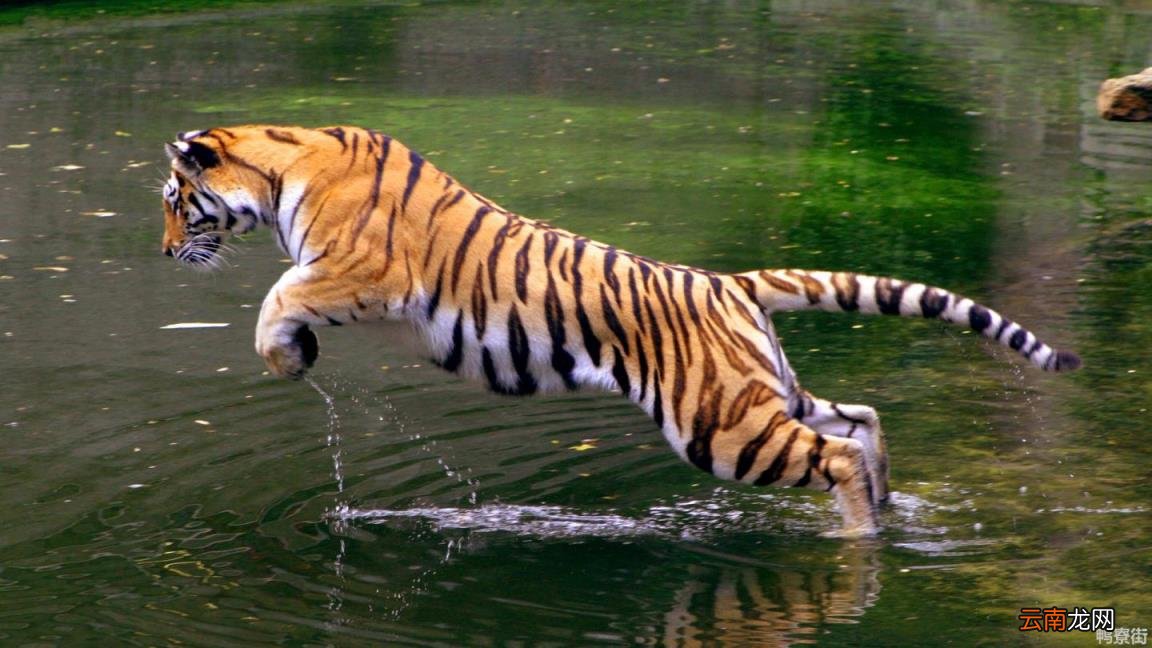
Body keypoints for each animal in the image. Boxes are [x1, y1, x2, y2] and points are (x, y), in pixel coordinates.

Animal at [160, 125, 1081, 536]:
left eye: (174, 200)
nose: (166, 252)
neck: (282, 163)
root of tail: (730, 282)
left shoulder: (358, 270)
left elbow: (275, 297)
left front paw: (288, 357)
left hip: (720, 424)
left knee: (837, 453)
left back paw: (858, 533)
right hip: (761, 392)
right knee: (860, 419)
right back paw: (888, 508)